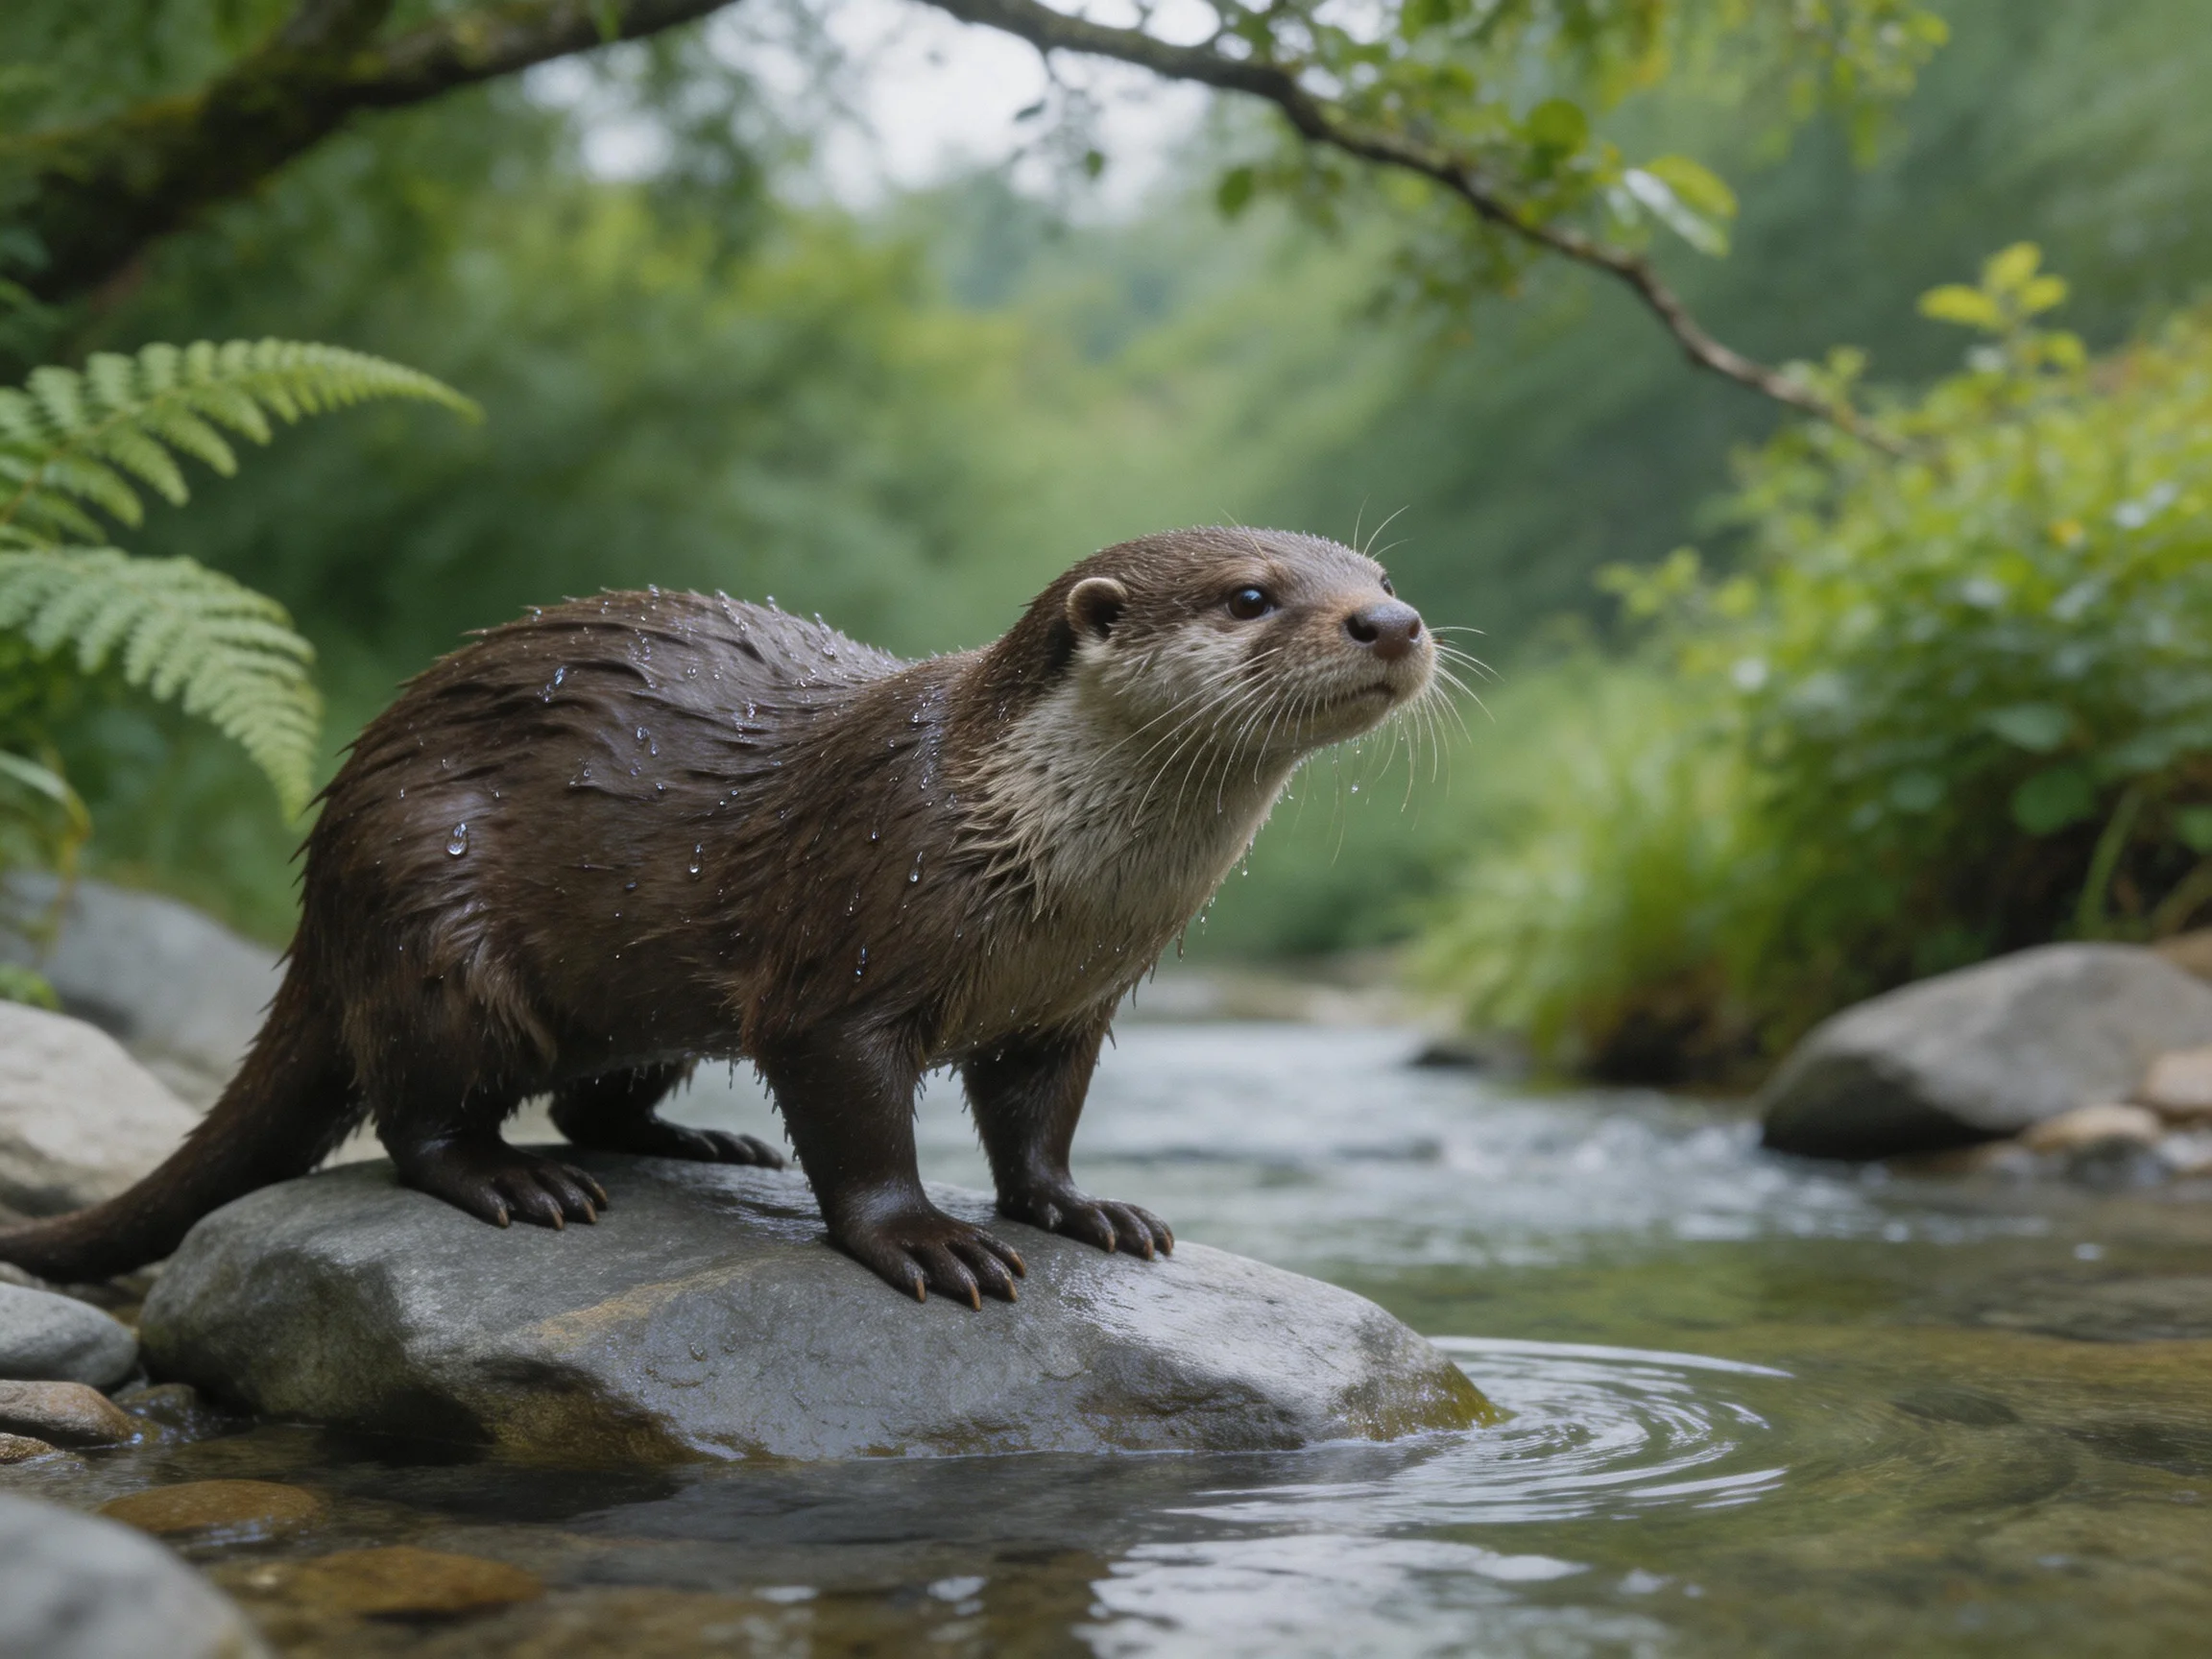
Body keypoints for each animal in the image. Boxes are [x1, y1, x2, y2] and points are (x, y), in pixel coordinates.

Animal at [0, 528, 1435, 1305]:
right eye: (1250, 593)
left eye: (1370, 567)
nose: (1394, 618)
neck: (1052, 878)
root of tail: (320, 883)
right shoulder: (850, 948)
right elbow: (856, 1126)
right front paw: (927, 1240)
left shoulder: (1068, 1008)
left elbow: (1040, 1126)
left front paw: (1086, 1211)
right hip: (432, 920)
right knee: (418, 1112)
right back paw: (515, 1180)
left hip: (635, 995)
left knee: (598, 1096)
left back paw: (699, 1141)